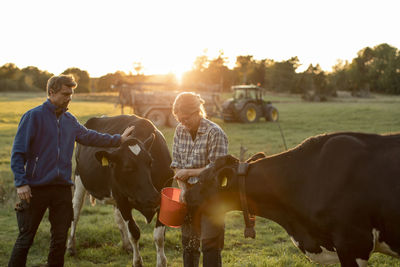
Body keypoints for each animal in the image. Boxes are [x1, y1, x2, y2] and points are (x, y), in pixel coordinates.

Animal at [67, 115, 173, 267]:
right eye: (128, 167)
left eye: (150, 162)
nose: (153, 197)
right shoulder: (122, 199)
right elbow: (134, 232)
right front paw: (137, 261)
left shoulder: (163, 197)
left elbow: (159, 236)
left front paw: (161, 262)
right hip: (79, 180)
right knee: (75, 212)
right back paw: (71, 246)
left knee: (118, 218)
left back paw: (126, 246)